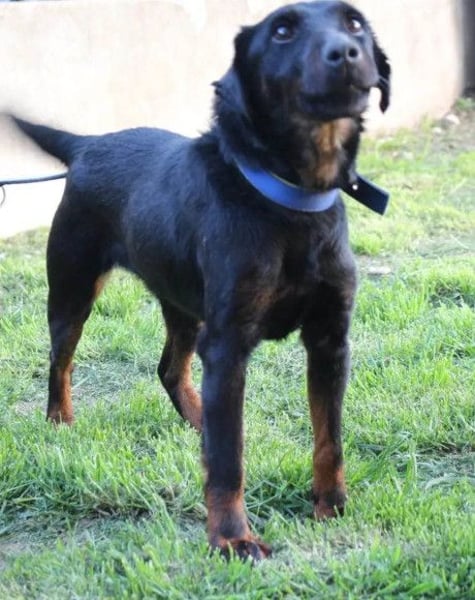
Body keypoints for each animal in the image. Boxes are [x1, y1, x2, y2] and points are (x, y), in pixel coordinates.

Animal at [11, 0, 390, 560]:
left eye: (355, 24)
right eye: (281, 31)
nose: (346, 53)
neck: (289, 202)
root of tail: (87, 145)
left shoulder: (329, 340)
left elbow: (330, 438)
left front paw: (331, 505)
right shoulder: (228, 344)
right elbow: (230, 459)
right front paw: (232, 538)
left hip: (184, 306)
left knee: (170, 369)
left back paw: (197, 420)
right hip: (73, 289)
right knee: (60, 362)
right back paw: (61, 421)